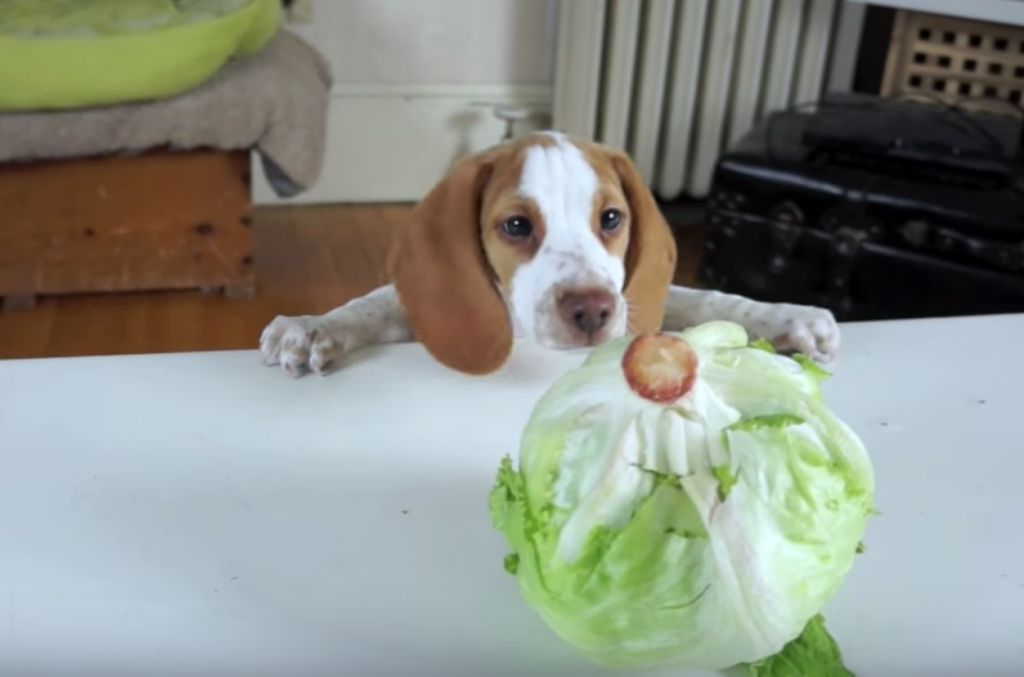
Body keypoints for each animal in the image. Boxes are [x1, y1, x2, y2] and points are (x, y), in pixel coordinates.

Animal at [260, 132, 835, 374]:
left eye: (611, 219)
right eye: (516, 225)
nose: (592, 312)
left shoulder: (634, 300)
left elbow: (706, 298)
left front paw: (788, 316)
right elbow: (369, 305)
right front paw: (313, 327)